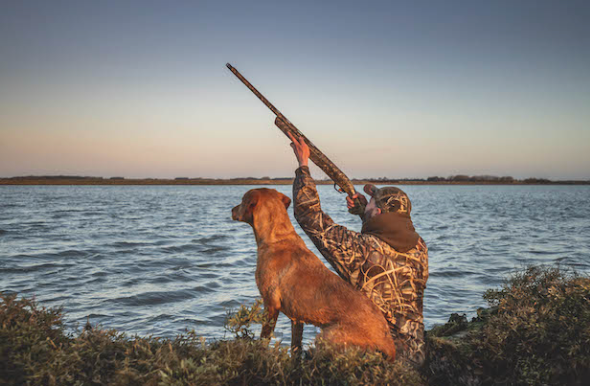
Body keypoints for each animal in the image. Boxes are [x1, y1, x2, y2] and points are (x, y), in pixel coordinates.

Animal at [231, 188, 398, 360]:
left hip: (326, 335)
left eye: (242, 201)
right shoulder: (296, 317)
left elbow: (264, 339)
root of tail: (389, 347)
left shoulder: (271, 303)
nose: (231, 210)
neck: (277, 238)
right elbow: (295, 347)